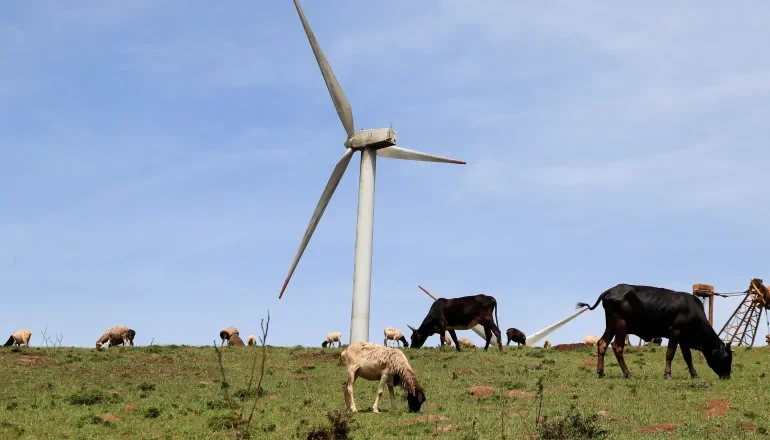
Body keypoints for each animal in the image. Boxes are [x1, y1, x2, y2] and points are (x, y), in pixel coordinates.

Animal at [576, 284, 732, 380]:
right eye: (725, 357)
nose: (727, 376)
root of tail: (612, 289)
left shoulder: (683, 339)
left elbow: (688, 357)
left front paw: (694, 375)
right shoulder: (675, 333)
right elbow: (670, 354)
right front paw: (668, 374)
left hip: (611, 324)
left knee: (602, 344)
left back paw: (601, 372)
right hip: (621, 325)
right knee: (617, 347)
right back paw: (627, 373)